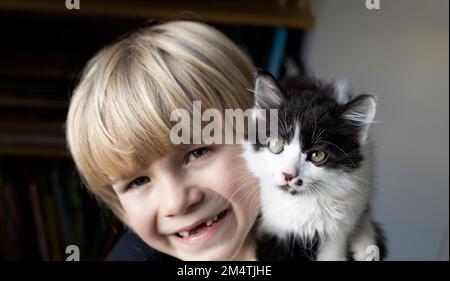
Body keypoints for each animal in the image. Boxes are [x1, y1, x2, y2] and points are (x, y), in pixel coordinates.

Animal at [243, 72, 386, 260]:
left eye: (317, 155)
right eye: (276, 144)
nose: (288, 175)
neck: (302, 203)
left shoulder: (336, 231)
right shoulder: (273, 227)